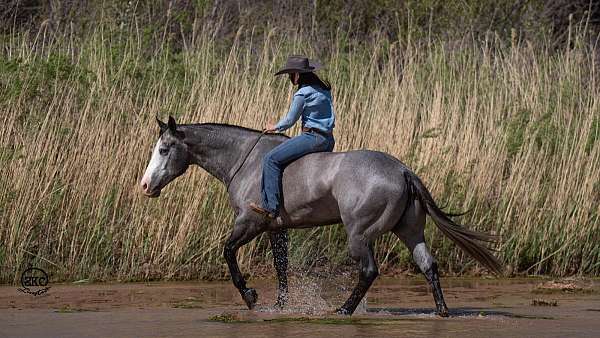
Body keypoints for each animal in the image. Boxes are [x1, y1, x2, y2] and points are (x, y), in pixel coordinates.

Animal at [139, 117, 502, 316]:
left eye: (164, 149)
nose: (145, 186)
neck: (246, 160)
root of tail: (402, 170)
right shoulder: (275, 228)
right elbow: (280, 266)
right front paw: (280, 305)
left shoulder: (250, 222)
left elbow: (228, 253)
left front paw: (251, 297)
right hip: (410, 231)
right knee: (428, 265)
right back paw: (442, 311)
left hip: (359, 235)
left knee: (369, 271)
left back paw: (344, 309)